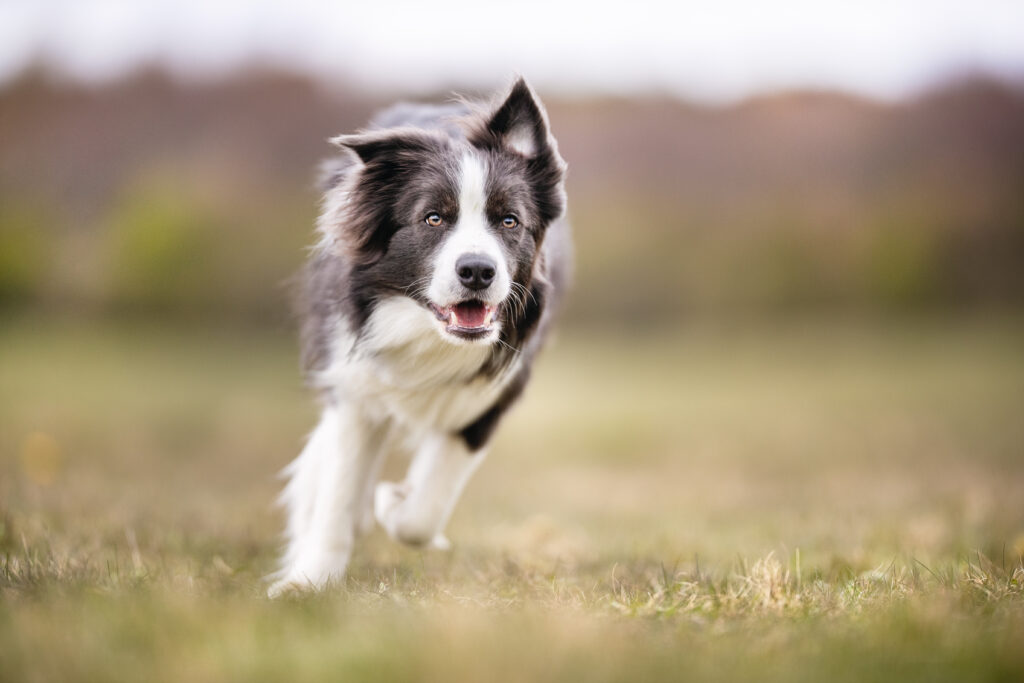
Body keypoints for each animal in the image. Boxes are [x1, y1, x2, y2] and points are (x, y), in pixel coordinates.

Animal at [268, 77, 573, 593]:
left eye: (509, 220)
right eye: (434, 218)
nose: (477, 270)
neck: (429, 335)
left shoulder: (490, 397)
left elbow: (424, 511)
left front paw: (393, 503)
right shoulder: (353, 384)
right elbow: (338, 489)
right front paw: (309, 582)